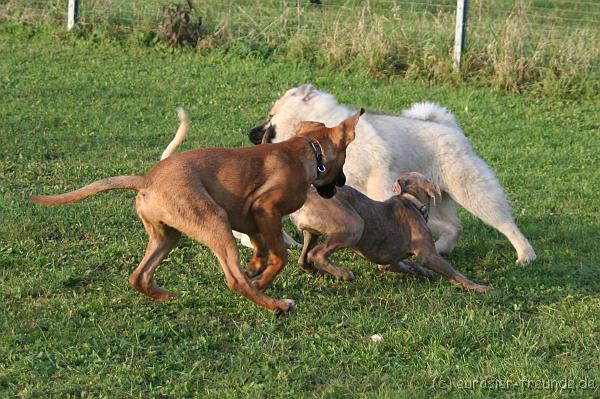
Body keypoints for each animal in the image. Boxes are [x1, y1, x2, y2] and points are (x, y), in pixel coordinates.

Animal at [30, 108, 366, 312]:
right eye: (344, 161)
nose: (342, 183)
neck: (308, 151)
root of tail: (147, 180)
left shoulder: (247, 214)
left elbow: (260, 248)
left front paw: (255, 266)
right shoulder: (264, 208)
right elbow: (279, 256)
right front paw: (262, 279)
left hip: (169, 234)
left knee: (139, 276)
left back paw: (168, 296)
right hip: (214, 221)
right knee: (234, 280)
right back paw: (276, 305)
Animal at [246, 84, 536, 264]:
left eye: (270, 115)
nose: (250, 133)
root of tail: (450, 128)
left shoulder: (378, 177)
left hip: (470, 189)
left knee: (504, 222)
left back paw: (525, 254)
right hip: (436, 199)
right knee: (455, 226)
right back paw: (442, 247)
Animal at [290, 173, 492, 294]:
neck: (411, 201)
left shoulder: (389, 262)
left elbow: (410, 265)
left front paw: (425, 273)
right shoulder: (428, 254)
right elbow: (456, 274)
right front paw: (480, 287)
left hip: (312, 233)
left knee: (304, 258)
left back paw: (316, 270)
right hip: (354, 224)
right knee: (317, 253)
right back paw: (343, 273)